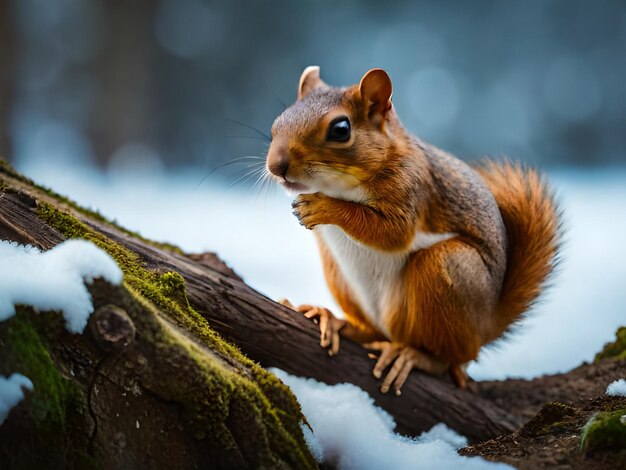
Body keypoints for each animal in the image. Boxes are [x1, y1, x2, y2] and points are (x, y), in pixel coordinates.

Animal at [266, 66, 560, 394]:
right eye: (278, 122)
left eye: (340, 129)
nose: (276, 166)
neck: (340, 185)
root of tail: (486, 326)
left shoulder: (412, 187)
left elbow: (393, 232)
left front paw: (323, 207)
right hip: (340, 275)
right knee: (371, 331)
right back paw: (333, 320)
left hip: (446, 269)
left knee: (450, 358)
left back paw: (416, 357)